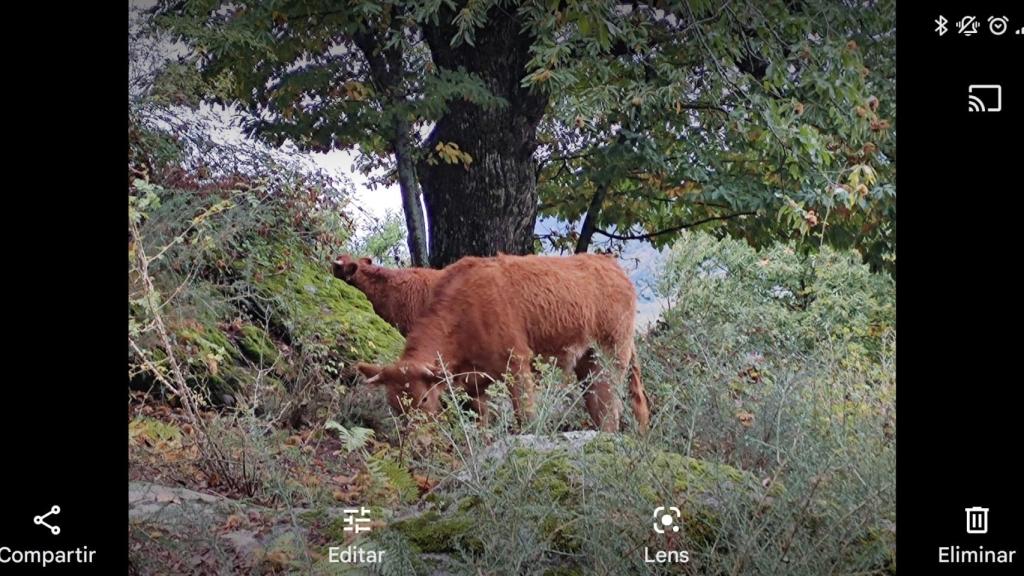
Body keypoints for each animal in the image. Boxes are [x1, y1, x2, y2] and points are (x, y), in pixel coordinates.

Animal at [356, 252, 651, 430]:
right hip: (586, 363)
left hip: (611, 357)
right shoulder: (474, 385)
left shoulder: (517, 366)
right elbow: (482, 425)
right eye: (393, 405)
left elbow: (526, 417)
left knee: (610, 408)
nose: (416, 440)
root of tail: (610, 265)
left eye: (425, 398)